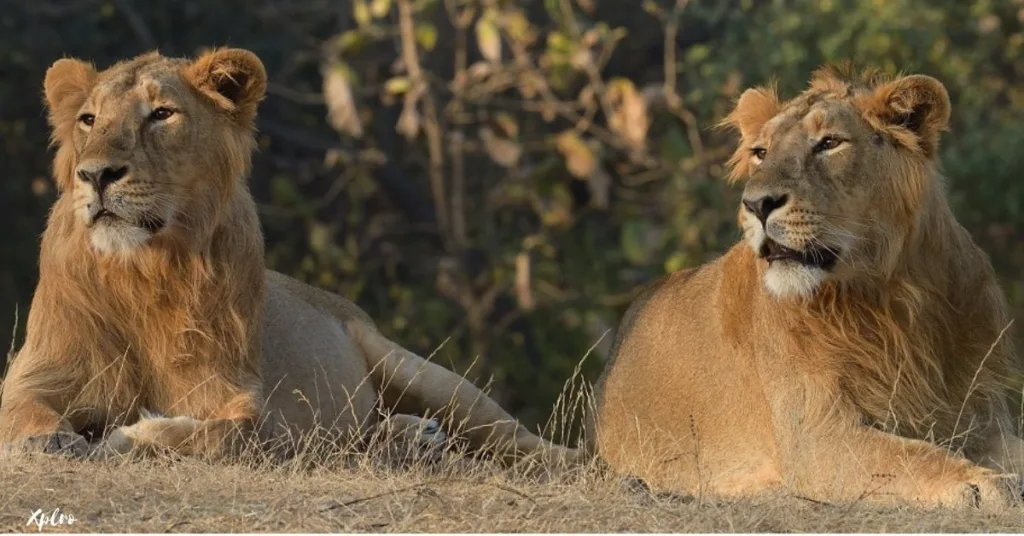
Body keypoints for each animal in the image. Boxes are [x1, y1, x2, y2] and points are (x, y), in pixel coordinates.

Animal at [0, 47, 581, 465]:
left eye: (161, 114)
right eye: (88, 119)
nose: (96, 175)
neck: (143, 272)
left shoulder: (247, 400)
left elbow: (228, 435)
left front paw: (130, 437)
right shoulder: (36, 373)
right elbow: (25, 411)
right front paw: (50, 440)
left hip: (420, 372)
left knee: (524, 443)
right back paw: (411, 439)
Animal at [589, 66, 1024, 508]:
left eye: (829, 143)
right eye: (761, 152)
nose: (756, 204)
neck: (891, 294)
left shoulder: (981, 414)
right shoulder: (816, 438)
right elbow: (912, 456)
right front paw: (980, 482)